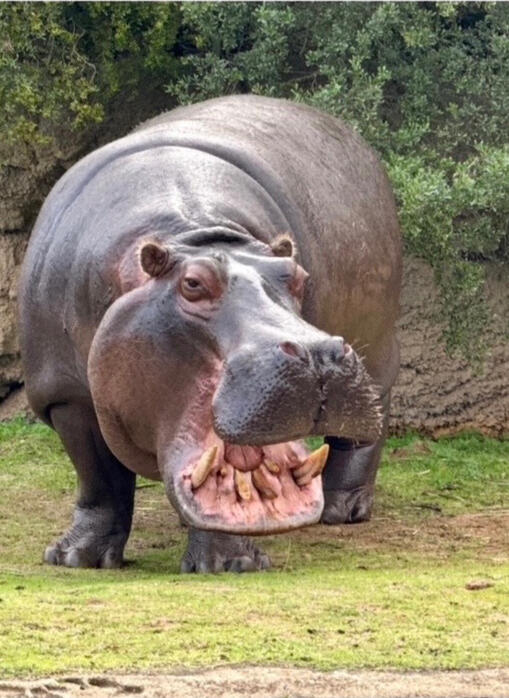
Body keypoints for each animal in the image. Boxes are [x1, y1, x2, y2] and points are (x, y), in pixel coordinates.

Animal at [18, 95, 401, 573]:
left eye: (295, 276)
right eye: (193, 284)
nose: (319, 353)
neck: (194, 235)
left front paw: (227, 564)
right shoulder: (65, 396)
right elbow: (99, 480)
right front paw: (74, 558)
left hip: (378, 352)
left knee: (365, 429)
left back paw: (341, 511)